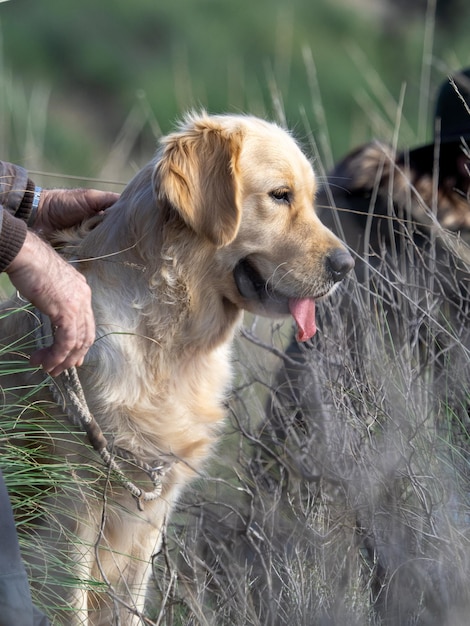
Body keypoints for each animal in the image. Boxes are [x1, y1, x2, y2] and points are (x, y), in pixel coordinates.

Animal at [0, 113, 352, 624]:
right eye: (280, 195)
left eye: (308, 198)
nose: (347, 265)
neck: (169, 345)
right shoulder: (70, 516)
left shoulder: (149, 516)